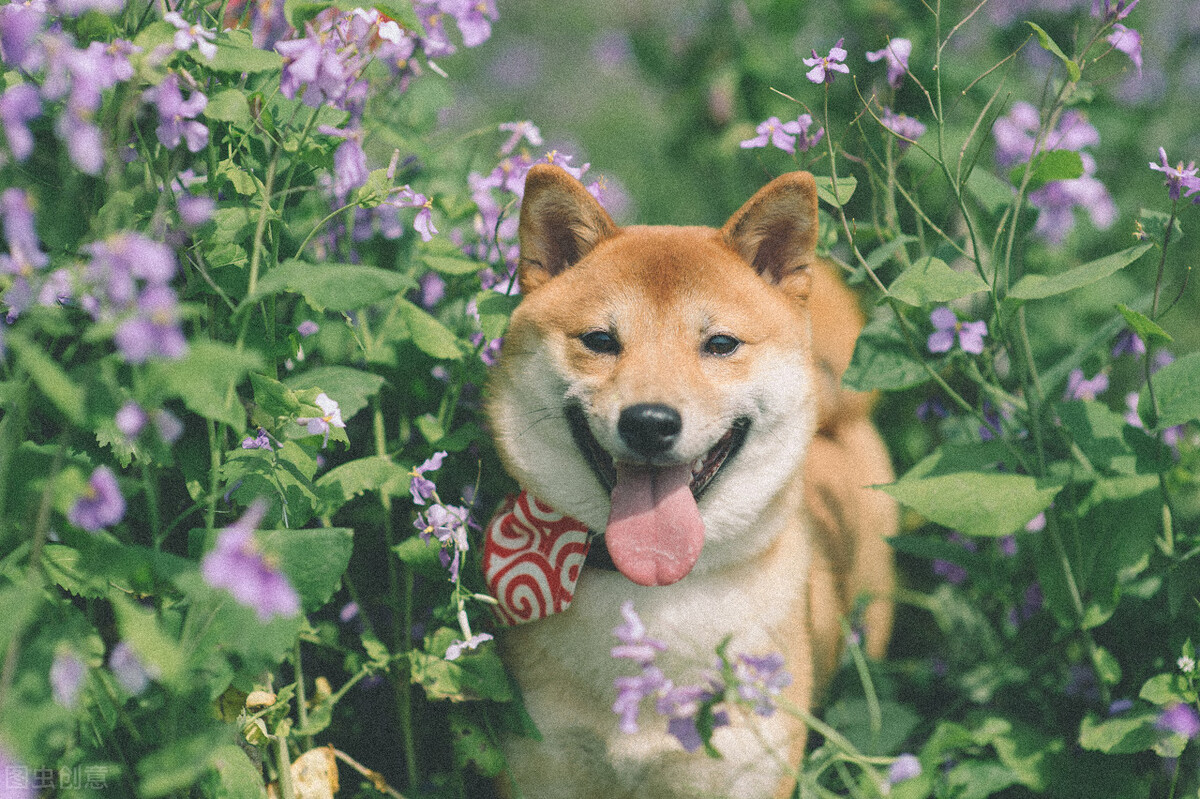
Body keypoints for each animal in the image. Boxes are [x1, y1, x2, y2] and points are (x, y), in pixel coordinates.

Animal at [484, 163, 892, 796]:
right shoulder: (542, 762)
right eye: (600, 340)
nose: (650, 422)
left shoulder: (742, 770)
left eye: (720, 344)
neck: (653, 594)